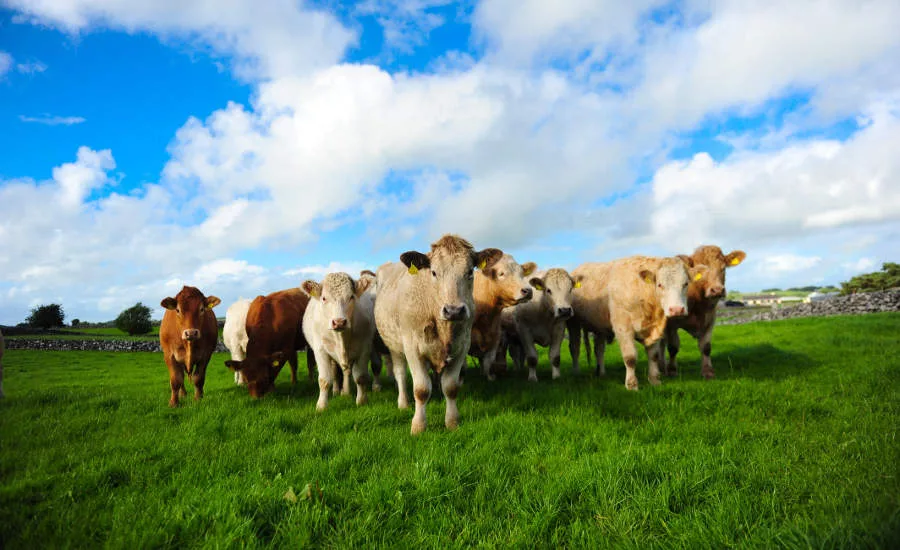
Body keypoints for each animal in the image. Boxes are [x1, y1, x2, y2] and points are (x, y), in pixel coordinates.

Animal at [300, 272, 376, 411]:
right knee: (335, 372)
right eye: (324, 298)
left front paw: (361, 401)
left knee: (347, 371)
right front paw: (321, 406)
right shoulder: (320, 351)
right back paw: (336, 391)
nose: (339, 322)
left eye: (351, 297)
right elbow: (324, 380)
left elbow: (361, 377)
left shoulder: (365, 348)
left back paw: (345, 392)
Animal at [375, 234, 502, 435]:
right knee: (400, 373)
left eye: (470, 272)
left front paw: (452, 421)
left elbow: (451, 387)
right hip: (394, 347)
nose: (454, 310)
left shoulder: (462, 347)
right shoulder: (412, 348)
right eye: (434, 272)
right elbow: (421, 389)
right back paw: (403, 402)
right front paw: (418, 426)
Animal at [568, 256, 707, 390]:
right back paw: (576, 373)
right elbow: (630, 357)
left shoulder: (655, 328)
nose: (677, 309)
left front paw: (654, 380)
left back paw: (601, 373)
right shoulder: (623, 328)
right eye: (660, 285)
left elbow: (654, 355)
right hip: (573, 323)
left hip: (599, 327)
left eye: (685, 284)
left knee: (599, 349)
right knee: (575, 348)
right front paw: (631, 385)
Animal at [663, 246, 746, 379]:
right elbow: (673, 347)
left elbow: (706, 347)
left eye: (723, 268)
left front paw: (708, 371)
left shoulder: (710, 321)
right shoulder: (671, 324)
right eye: (702, 270)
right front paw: (671, 370)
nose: (717, 290)